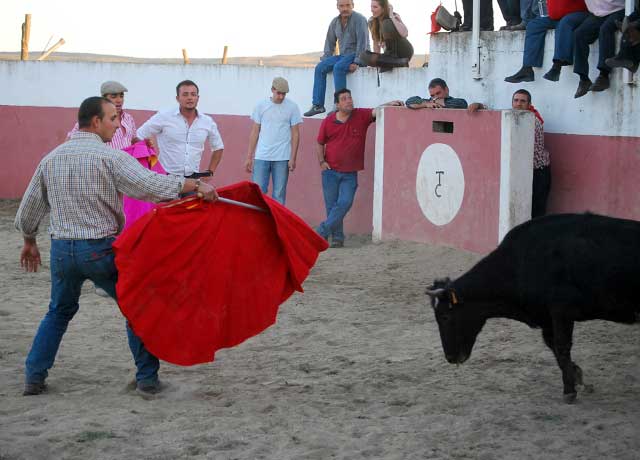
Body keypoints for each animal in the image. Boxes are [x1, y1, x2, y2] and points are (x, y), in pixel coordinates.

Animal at [424, 212, 640, 402]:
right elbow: (553, 346)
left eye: (445, 317)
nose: (450, 357)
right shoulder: (547, 318)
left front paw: (569, 391)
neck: (520, 263)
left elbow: (562, 347)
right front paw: (577, 376)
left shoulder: (561, 312)